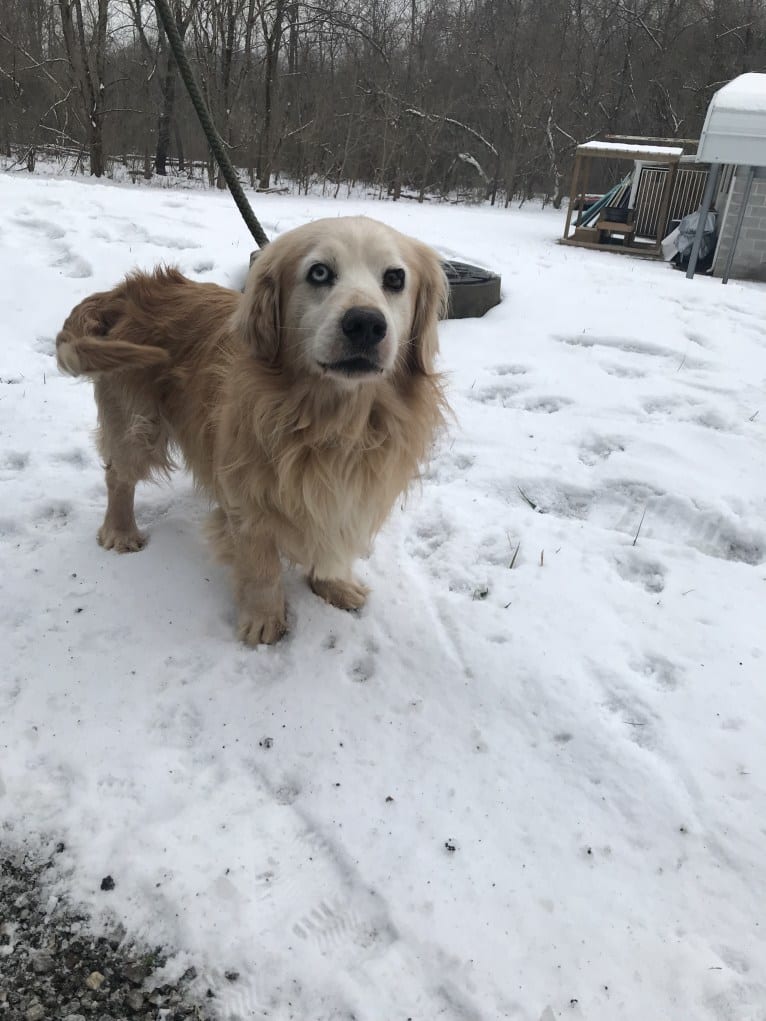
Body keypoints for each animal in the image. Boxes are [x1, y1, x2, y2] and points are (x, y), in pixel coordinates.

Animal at [58, 216, 449, 645]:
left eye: (395, 278)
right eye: (319, 272)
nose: (364, 323)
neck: (335, 423)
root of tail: (125, 292)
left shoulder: (348, 495)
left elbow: (330, 544)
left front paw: (333, 584)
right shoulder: (247, 500)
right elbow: (261, 568)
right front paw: (265, 622)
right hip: (136, 424)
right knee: (119, 478)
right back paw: (121, 531)